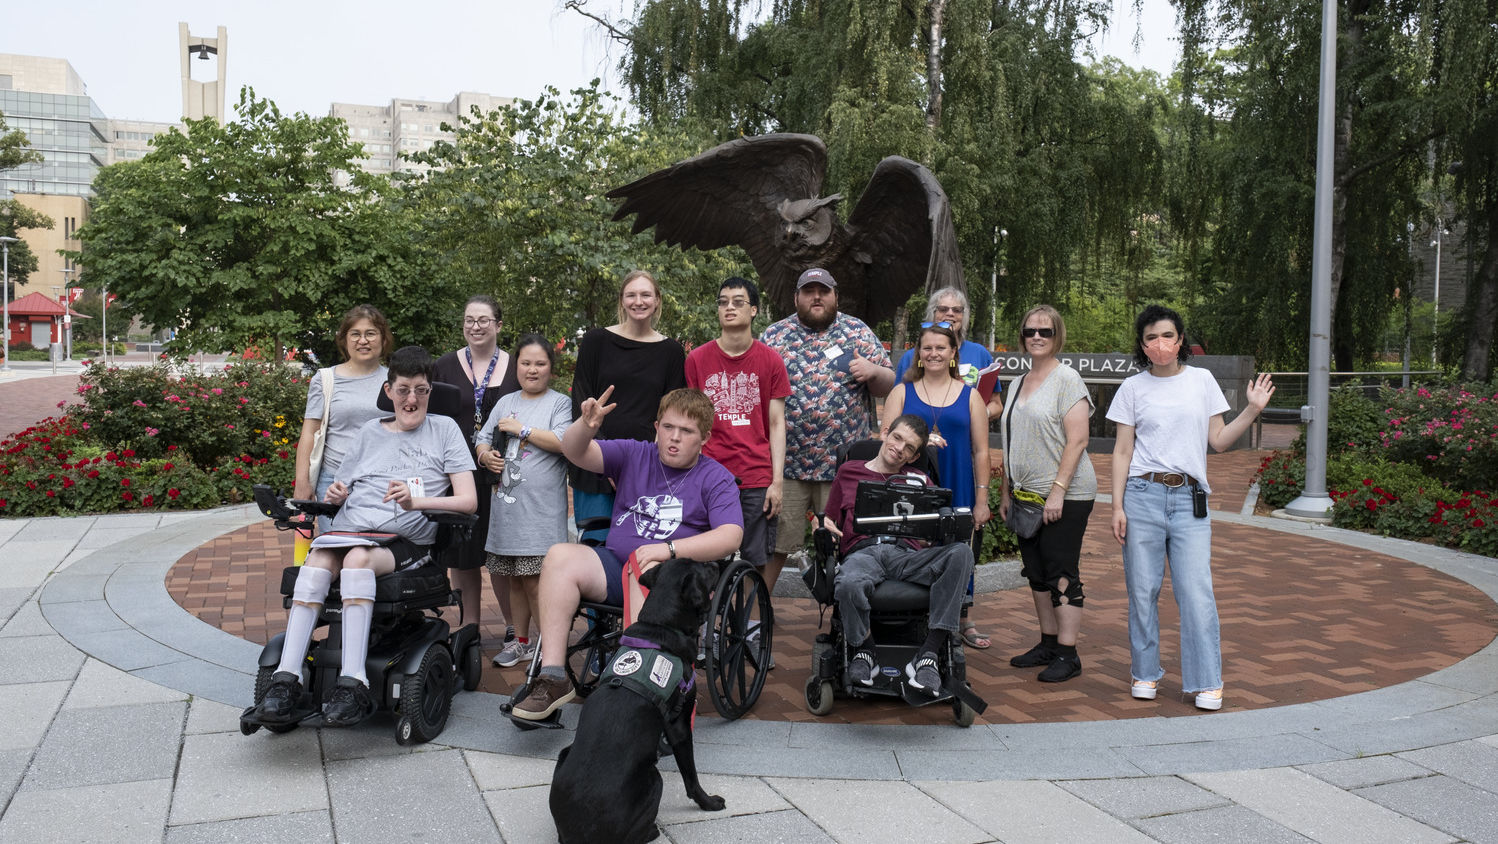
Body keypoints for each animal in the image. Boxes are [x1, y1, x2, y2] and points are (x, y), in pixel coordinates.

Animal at [551, 557, 725, 839]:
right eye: (701, 567)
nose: (718, 562)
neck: (660, 625)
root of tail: (581, 835)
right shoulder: (680, 725)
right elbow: (691, 776)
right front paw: (708, 802)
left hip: (563, 755)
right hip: (655, 779)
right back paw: (652, 830)